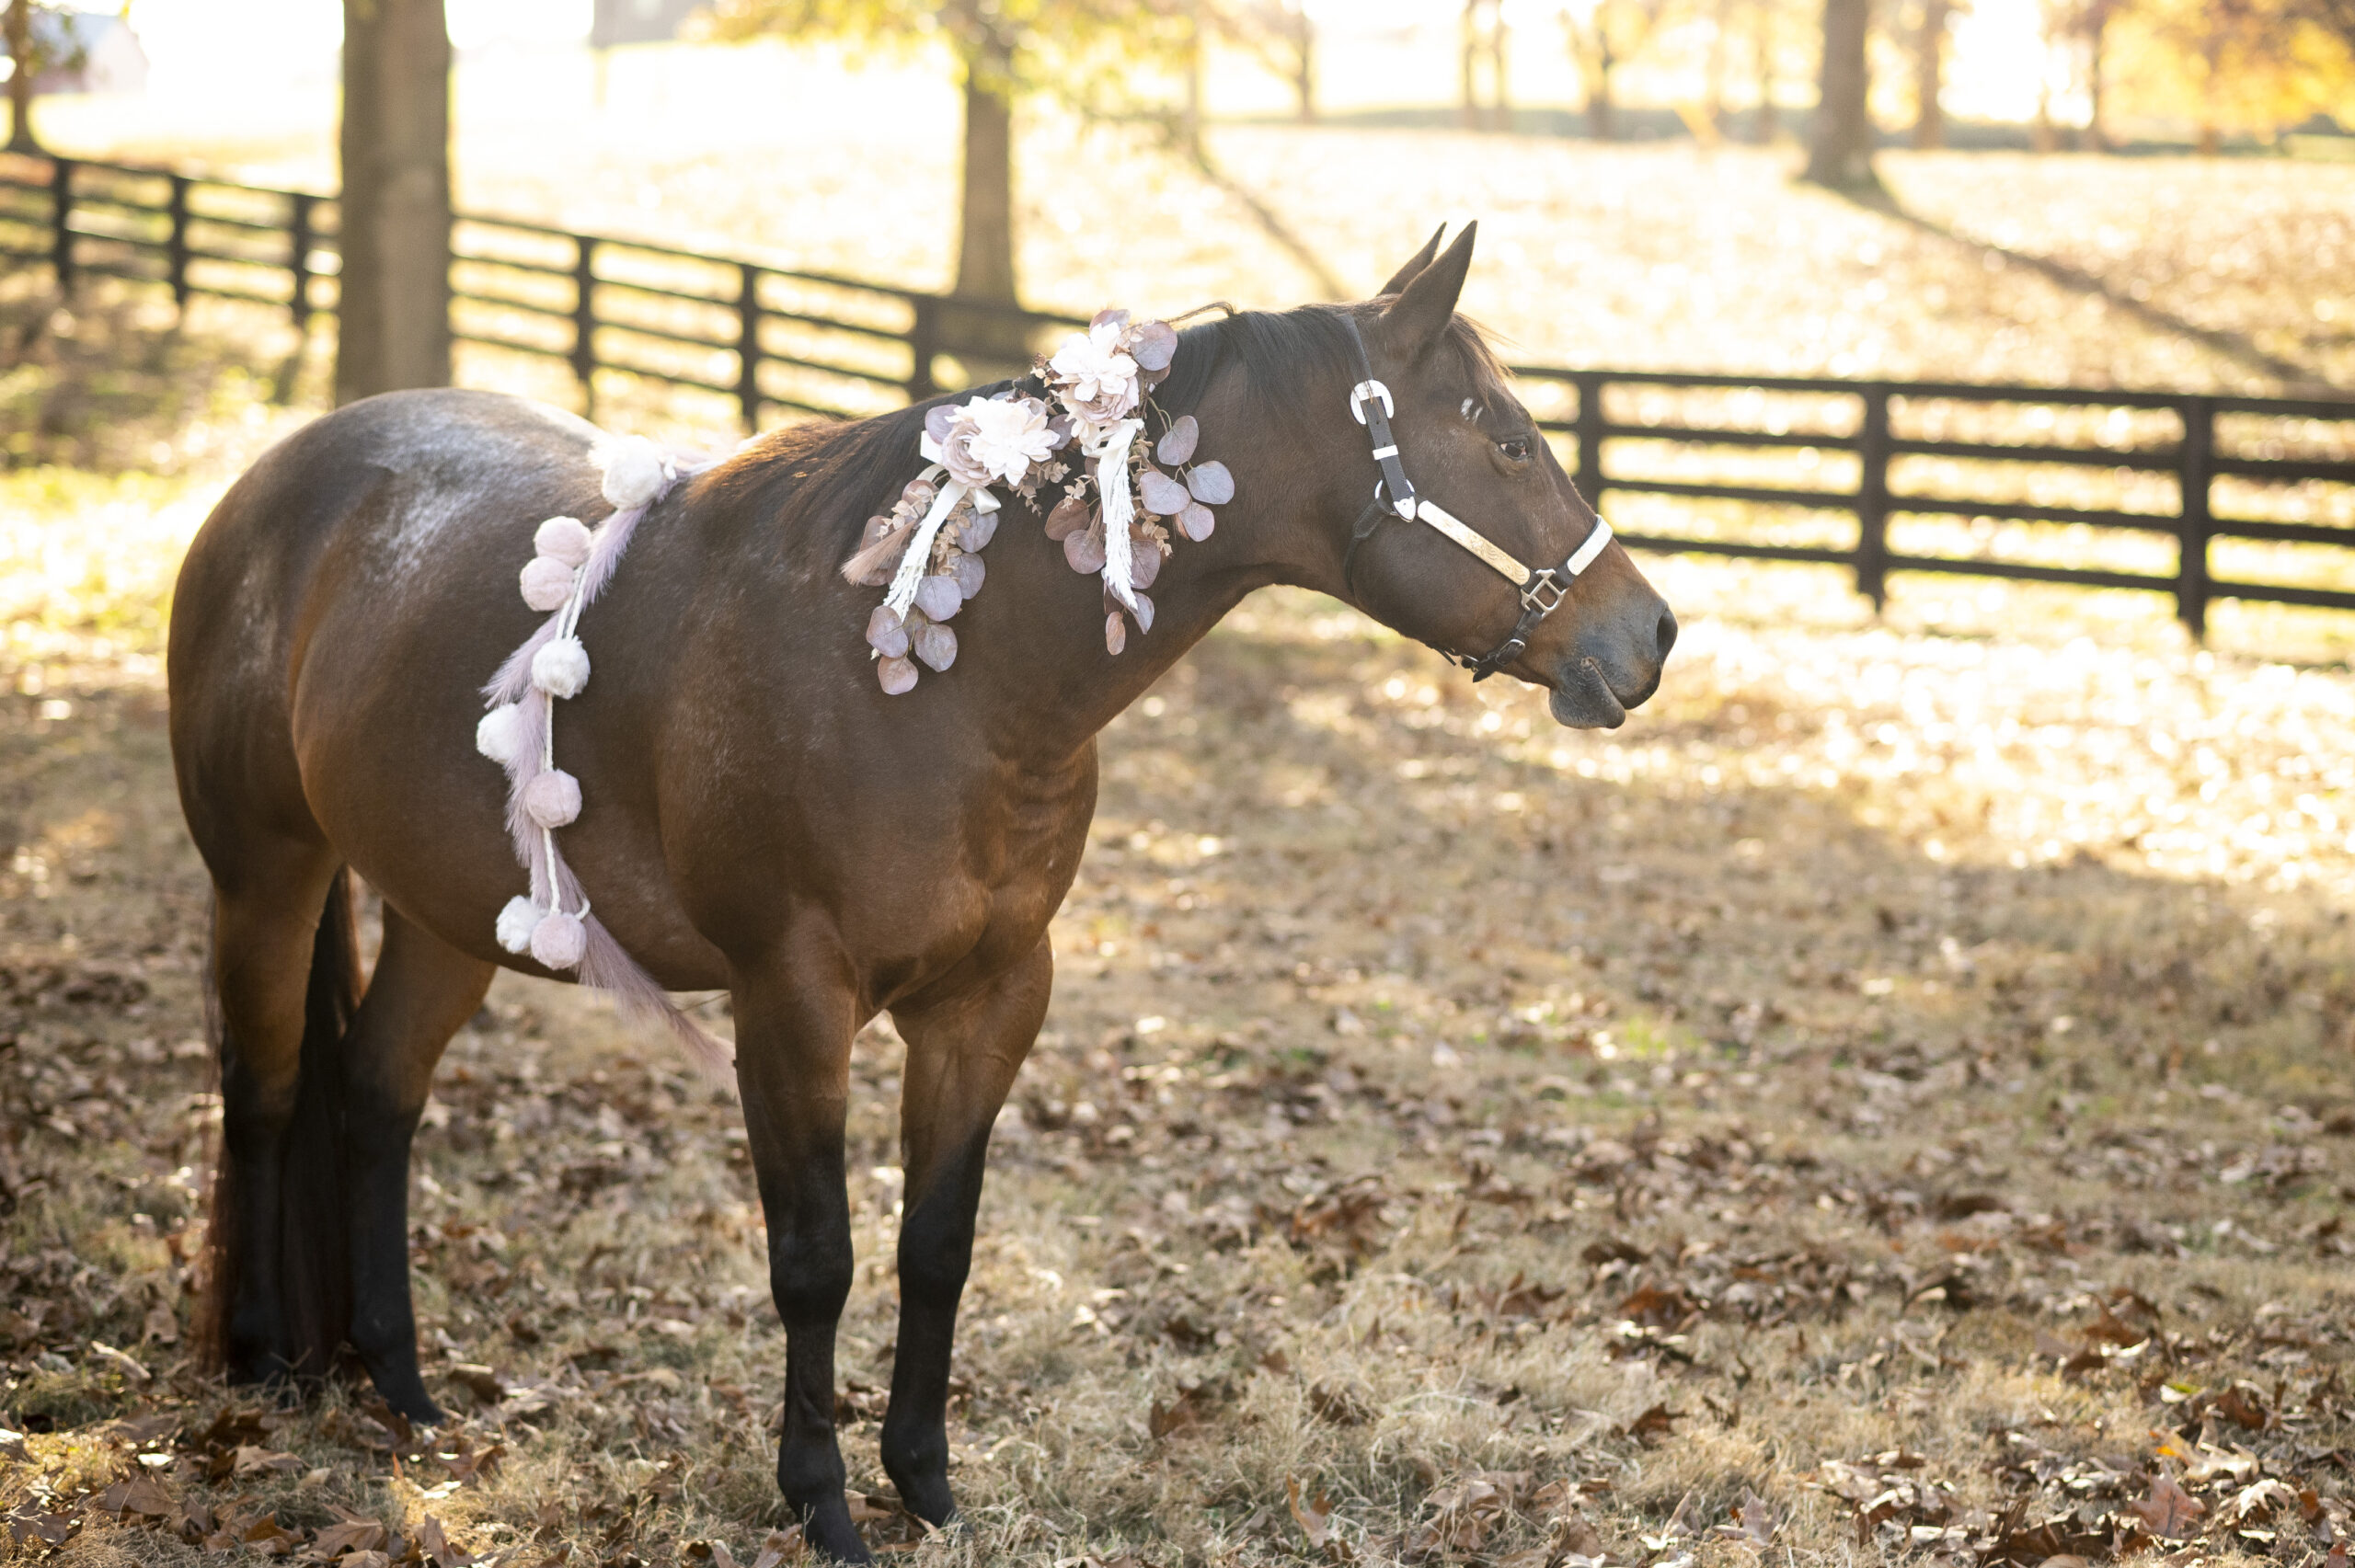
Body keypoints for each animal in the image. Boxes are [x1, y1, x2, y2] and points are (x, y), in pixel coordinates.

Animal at [166, 225, 1676, 1553]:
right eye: (1506, 438)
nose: (1651, 633)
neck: (944, 687)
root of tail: (277, 478)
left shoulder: (991, 997)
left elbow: (936, 1245)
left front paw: (928, 1486)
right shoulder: (790, 1001)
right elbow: (816, 1257)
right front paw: (822, 1504)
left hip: (448, 911)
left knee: (374, 1099)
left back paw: (404, 1391)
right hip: (267, 874)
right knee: (268, 1087)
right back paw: (261, 1362)